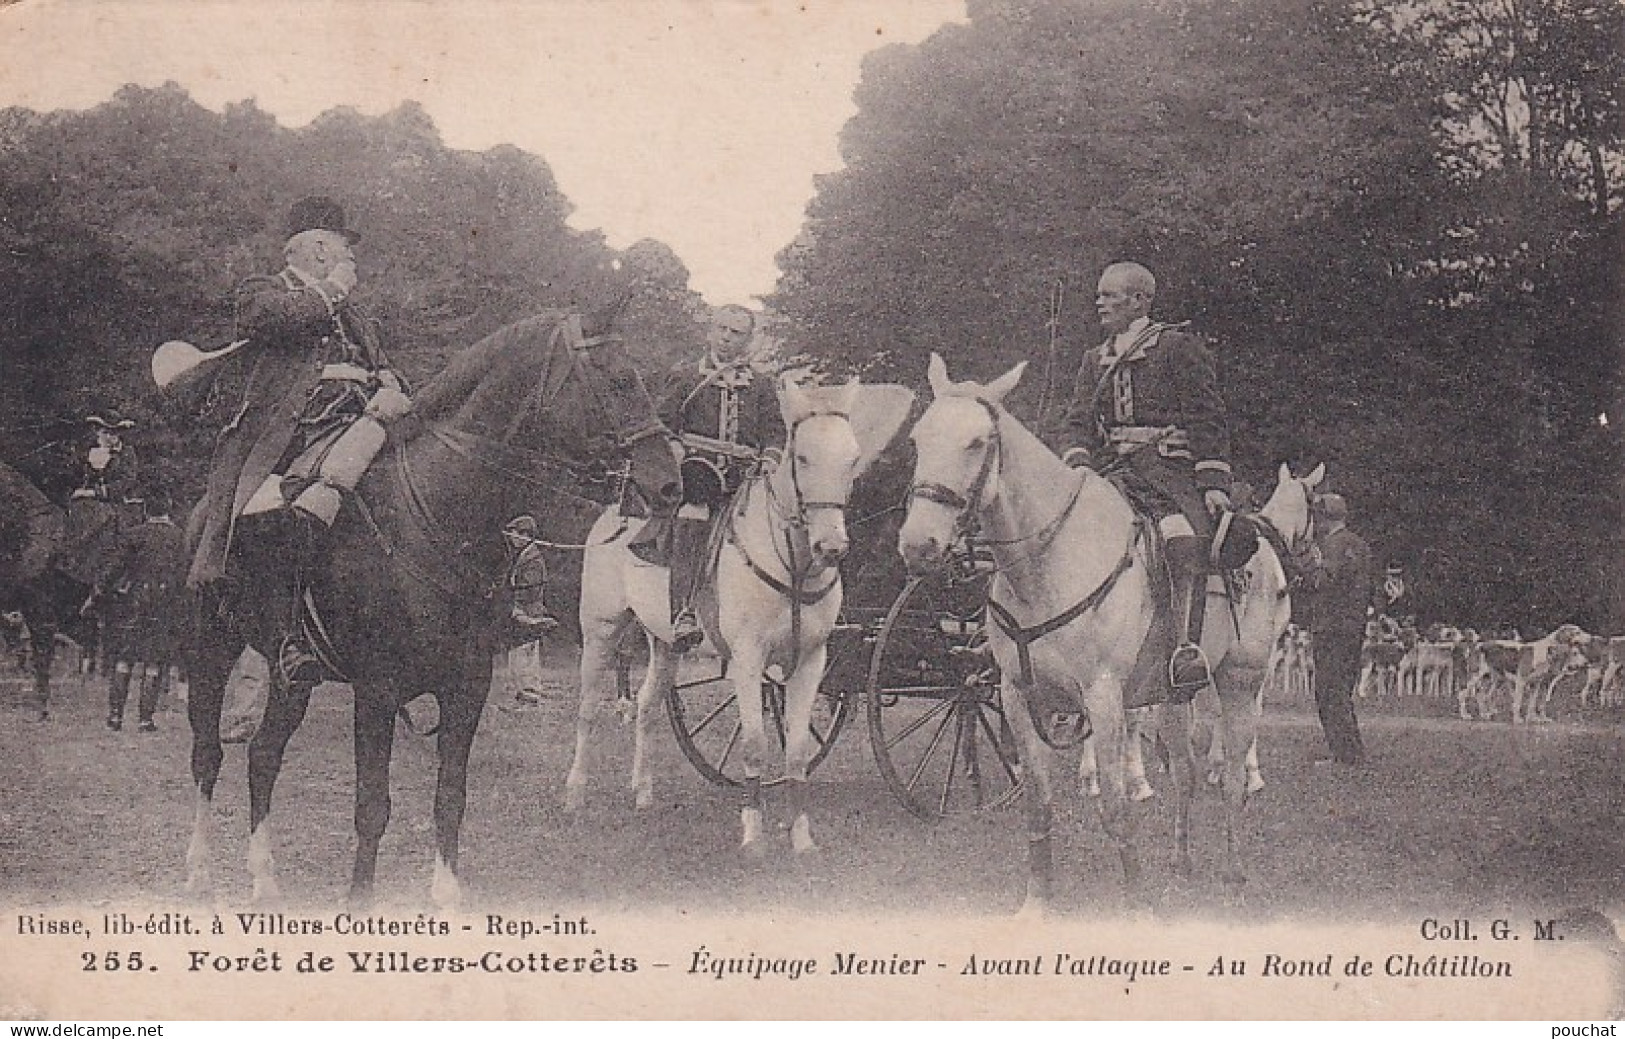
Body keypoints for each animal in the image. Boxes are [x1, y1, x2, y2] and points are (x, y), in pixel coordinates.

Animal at [182, 310, 679, 910]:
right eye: (619, 381)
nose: (669, 484)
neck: (438, 513)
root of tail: (203, 510)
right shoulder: (377, 691)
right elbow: (372, 806)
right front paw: (360, 900)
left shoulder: (468, 687)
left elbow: (451, 796)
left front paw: (446, 891)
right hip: (210, 649)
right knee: (208, 756)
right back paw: (199, 870)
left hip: (291, 678)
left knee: (262, 756)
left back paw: (264, 878)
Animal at [565, 377, 910, 858]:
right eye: (802, 457)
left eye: (852, 457)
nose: (831, 546)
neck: (794, 565)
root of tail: (613, 513)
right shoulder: (748, 661)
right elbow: (753, 745)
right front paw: (753, 834)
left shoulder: (811, 662)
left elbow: (796, 750)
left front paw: (801, 838)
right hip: (601, 630)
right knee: (588, 710)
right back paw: (575, 794)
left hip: (665, 642)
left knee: (648, 706)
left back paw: (643, 792)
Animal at [903, 354, 1293, 904]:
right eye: (917, 439)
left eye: (977, 442)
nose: (918, 545)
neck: (1046, 562)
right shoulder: (1018, 697)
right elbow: (1039, 807)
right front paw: (1037, 901)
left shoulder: (1103, 697)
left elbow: (1116, 808)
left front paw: (1135, 903)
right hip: (1174, 697)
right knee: (1188, 774)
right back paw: (1181, 858)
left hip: (1241, 681)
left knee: (1233, 777)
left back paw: (1234, 871)